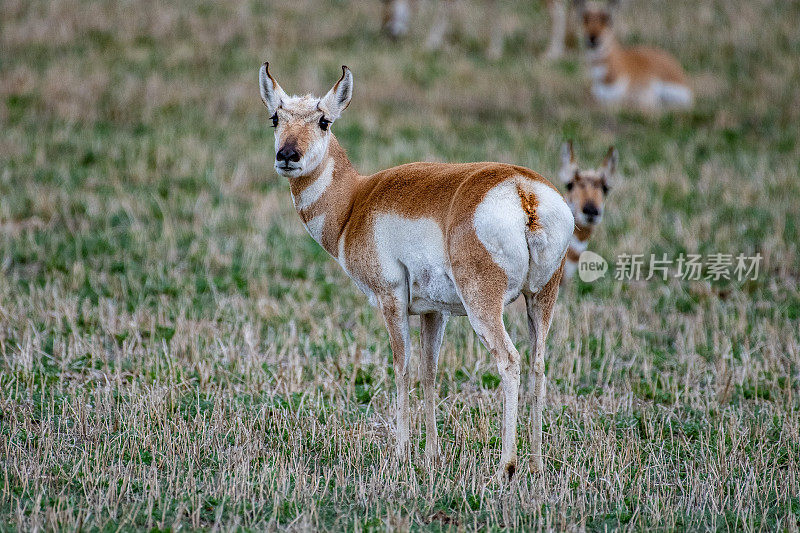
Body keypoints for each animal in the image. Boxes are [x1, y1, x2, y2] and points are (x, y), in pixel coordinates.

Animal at [262, 62, 576, 478]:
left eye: (324, 121)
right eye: (275, 118)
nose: (287, 155)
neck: (355, 201)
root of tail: (523, 190)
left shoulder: (391, 300)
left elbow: (402, 368)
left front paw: (399, 454)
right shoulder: (433, 312)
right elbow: (429, 371)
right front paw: (431, 455)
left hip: (483, 306)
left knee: (509, 361)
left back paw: (504, 468)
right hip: (540, 299)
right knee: (538, 364)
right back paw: (537, 465)